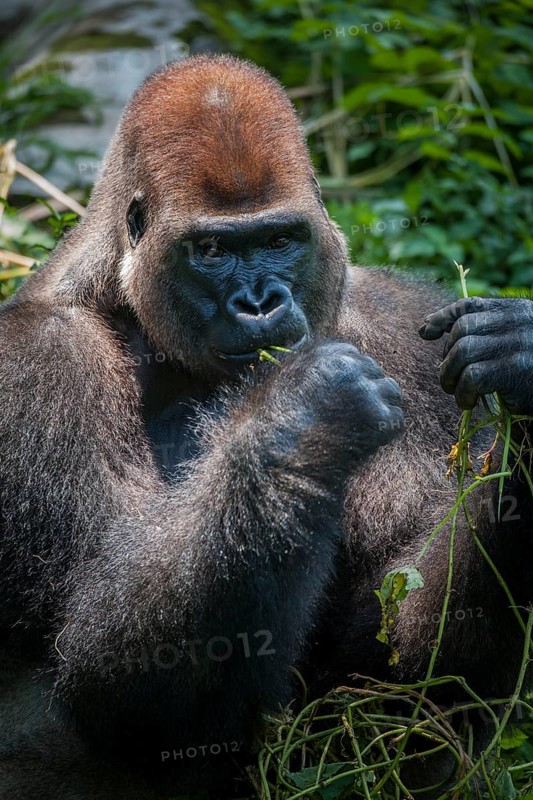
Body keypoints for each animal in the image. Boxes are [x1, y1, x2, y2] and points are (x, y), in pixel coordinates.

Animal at [0, 54, 532, 800]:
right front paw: (303, 413)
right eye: (212, 250)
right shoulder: (37, 360)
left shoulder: (407, 329)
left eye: (280, 240)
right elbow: (101, 675)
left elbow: (406, 664)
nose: (259, 303)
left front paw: (522, 363)